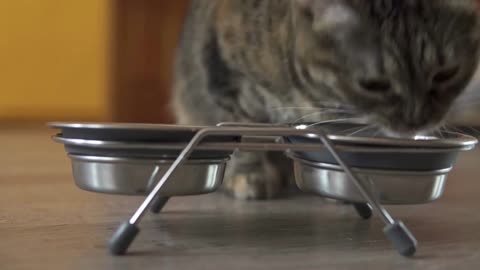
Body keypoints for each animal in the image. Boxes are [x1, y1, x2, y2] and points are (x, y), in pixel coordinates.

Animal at [172, 0, 480, 198]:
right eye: (374, 85)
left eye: (446, 74)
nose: (417, 120)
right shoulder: (226, 75)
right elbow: (240, 133)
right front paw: (251, 175)